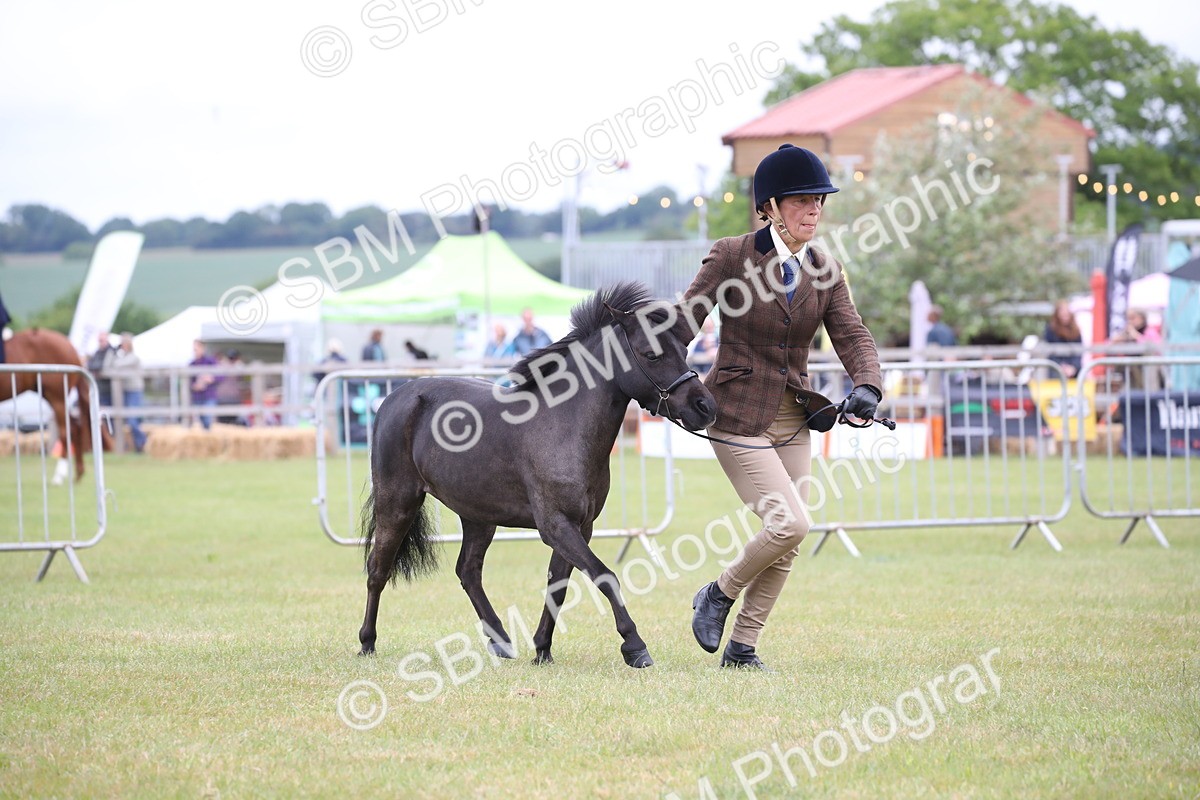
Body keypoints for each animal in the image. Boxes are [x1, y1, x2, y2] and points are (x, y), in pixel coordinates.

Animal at [0, 328, 105, 484]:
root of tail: (70, 346)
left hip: (56, 396)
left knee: (68, 430)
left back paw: (59, 475)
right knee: (75, 427)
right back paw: (78, 473)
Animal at [359, 282, 717, 668]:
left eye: (684, 349)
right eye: (651, 355)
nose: (705, 406)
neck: (564, 424)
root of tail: (395, 397)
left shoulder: (579, 527)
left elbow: (557, 585)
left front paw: (542, 648)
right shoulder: (556, 525)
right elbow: (605, 576)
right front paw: (635, 646)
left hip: (478, 516)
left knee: (468, 571)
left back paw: (501, 641)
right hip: (398, 503)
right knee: (378, 569)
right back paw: (367, 642)